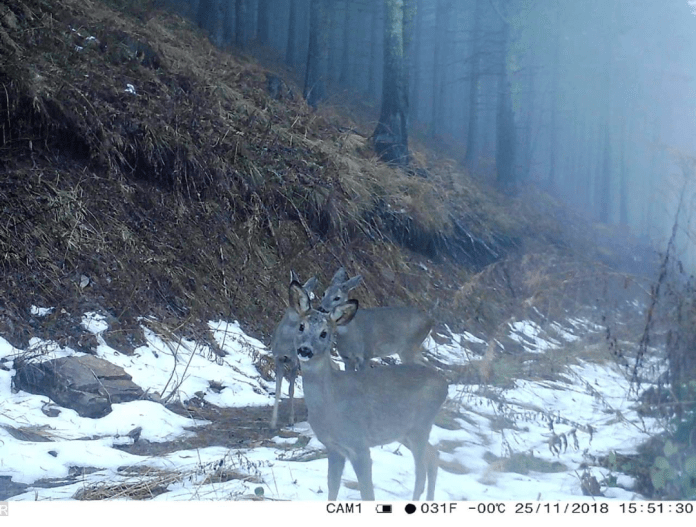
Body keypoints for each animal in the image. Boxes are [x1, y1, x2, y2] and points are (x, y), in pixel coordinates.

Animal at [270, 270, 318, 432]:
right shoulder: (278, 359)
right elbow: (278, 389)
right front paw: (273, 422)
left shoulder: (294, 362)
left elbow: (291, 389)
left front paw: (291, 420)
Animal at [286, 278, 446, 502]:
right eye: (301, 326)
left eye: (324, 333)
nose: (305, 350)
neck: (331, 402)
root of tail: (445, 384)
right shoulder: (334, 447)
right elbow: (332, 487)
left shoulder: (359, 444)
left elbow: (367, 493)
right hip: (404, 432)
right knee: (433, 456)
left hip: (420, 426)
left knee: (421, 472)